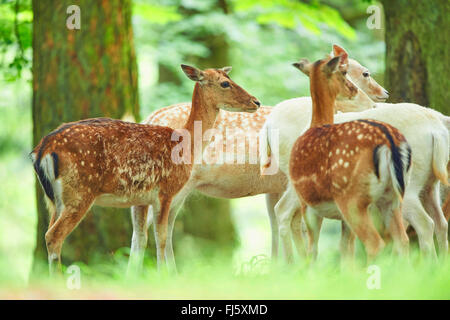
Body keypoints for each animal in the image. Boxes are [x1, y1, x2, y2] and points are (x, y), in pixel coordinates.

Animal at [30, 65, 260, 276]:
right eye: (225, 83)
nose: (256, 102)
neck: (186, 145)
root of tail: (41, 150)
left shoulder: (141, 198)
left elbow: (141, 238)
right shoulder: (165, 190)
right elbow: (162, 238)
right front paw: (162, 276)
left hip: (54, 199)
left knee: (48, 232)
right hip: (79, 192)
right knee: (53, 236)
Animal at [288, 55, 412, 262]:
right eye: (343, 72)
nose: (353, 89)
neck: (317, 124)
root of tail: (389, 142)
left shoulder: (307, 203)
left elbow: (313, 251)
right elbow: (345, 249)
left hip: (351, 198)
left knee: (375, 244)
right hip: (393, 197)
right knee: (402, 241)